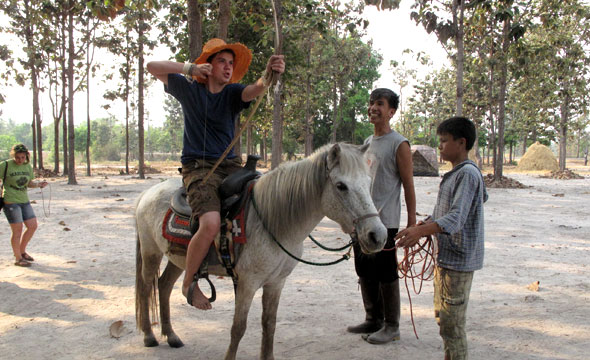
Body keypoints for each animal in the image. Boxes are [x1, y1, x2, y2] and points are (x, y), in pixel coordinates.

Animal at [134, 142, 388, 358]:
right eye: (341, 186)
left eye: (368, 182)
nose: (378, 236)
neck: (273, 221)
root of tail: (147, 193)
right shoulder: (247, 283)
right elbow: (238, 328)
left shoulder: (276, 282)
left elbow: (269, 324)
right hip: (151, 252)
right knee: (147, 287)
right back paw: (149, 336)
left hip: (178, 258)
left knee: (164, 286)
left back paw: (172, 336)